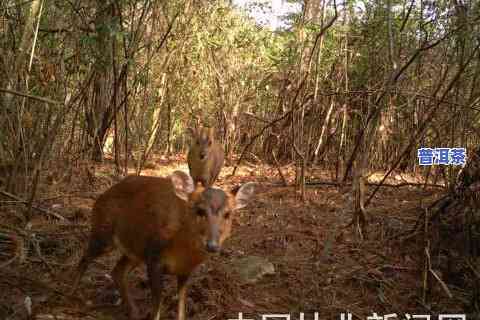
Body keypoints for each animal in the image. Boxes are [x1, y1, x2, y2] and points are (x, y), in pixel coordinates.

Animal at [70, 170, 255, 320]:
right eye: (200, 210)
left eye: (228, 214)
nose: (212, 245)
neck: (182, 251)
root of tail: (102, 195)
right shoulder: (154, 257)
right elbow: (157, 306)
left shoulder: (185, 270)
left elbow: (181, 305)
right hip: (103, 232)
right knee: (85, 258)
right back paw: (70, 294)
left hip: (135, 250)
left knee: (117, 271)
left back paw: (133, 311)